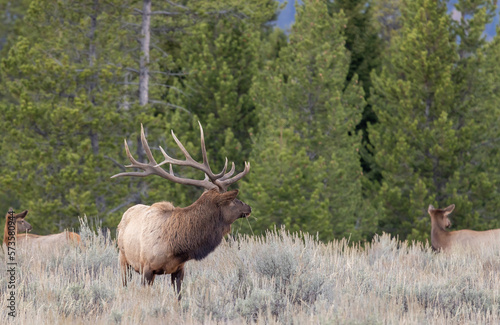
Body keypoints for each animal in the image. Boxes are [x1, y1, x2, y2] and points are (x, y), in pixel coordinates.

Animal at [112, 122, 252, 296]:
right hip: (123, 259)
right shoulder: (146, 268)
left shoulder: (179, 269)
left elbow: (178, 296)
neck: (175, 247)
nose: (248, 207)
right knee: (124, 283)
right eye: (232, 200)